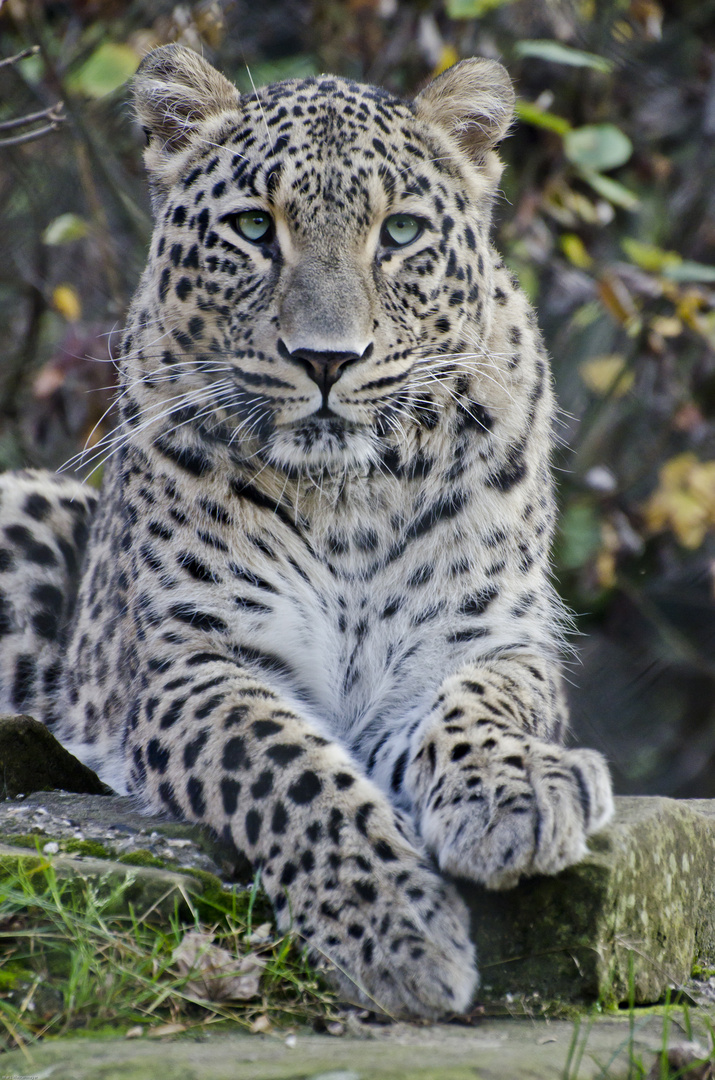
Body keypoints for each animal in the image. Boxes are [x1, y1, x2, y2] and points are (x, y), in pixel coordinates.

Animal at [0, 44, 617, 1019]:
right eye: (255, 227)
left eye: (398, 234)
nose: (327, 359)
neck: (349, 499)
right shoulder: (198, 661)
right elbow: (286, 767)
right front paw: (395, 931)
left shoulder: (481, 640)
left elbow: (480, 705)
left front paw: (516, 789)